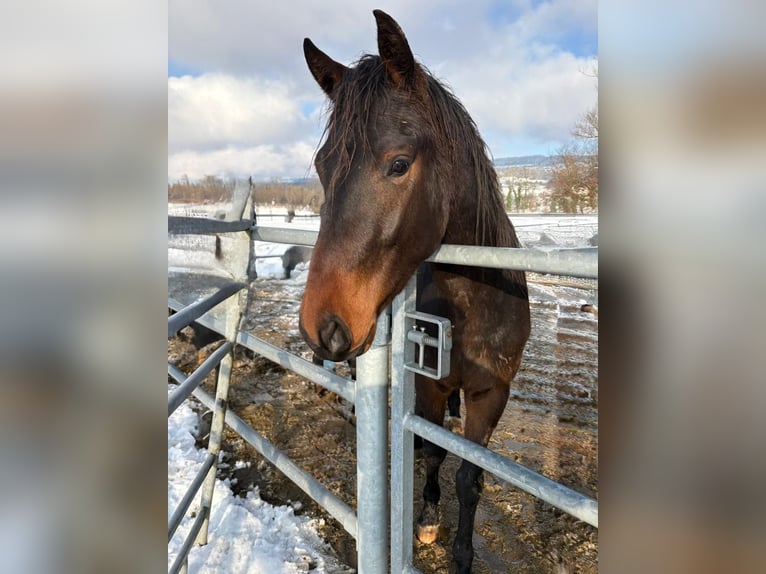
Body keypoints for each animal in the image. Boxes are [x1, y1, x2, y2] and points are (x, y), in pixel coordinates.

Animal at [298, 10, 530, 573]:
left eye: (399, 163)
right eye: (321, 166)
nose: (322, 324)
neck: (475, 301)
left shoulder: (493, 392)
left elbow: (470, 476)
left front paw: (462, 555)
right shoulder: (427, 388)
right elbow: (433, 452)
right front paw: (425, 518)